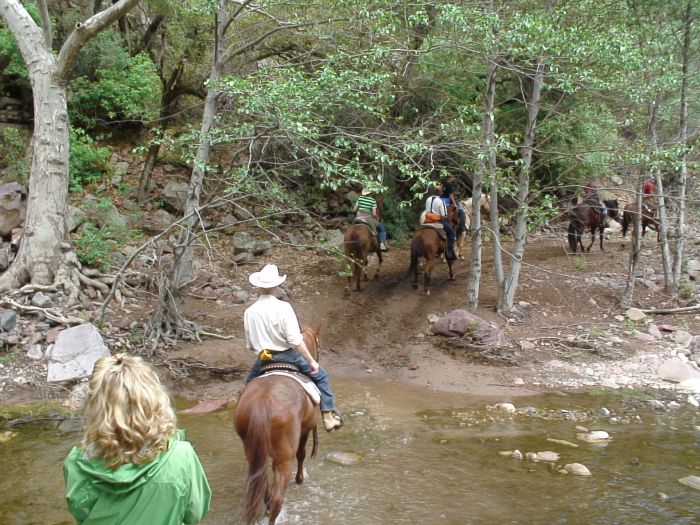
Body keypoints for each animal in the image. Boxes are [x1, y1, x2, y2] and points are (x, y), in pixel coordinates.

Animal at [235, 324, 322, 524]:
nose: (316, 365)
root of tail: (263, 401)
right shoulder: (306, 429)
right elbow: (301, 454)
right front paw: (299, 478)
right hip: (284, 456)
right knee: (277, 498)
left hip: (252, 451)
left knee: (262, 487)